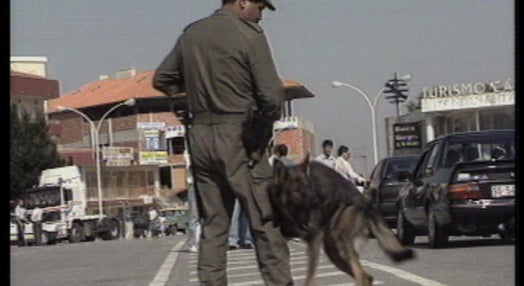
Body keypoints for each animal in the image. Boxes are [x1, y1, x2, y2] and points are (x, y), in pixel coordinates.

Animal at [268, 156, 416, 286]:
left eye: (310, 187)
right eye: (297, 189)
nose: (316, 202)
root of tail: (367, 204)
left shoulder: (313, 241)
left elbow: (310, 279)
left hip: (340, 241)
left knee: (362, 276)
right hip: (333, 251)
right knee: (367, 277)